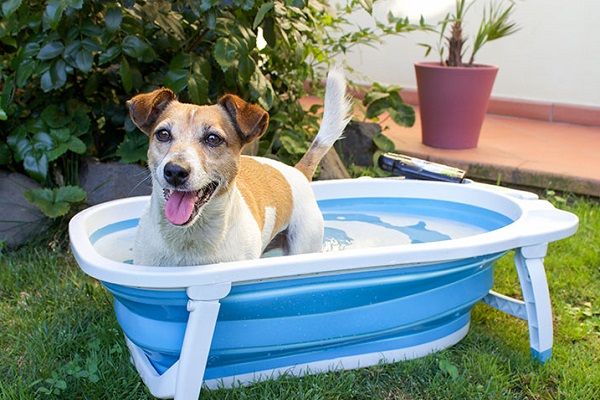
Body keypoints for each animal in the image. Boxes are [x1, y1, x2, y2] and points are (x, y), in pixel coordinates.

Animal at [127, 68, 352, 266]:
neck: (190, 237)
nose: (175, 171)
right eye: (163, 134)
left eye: (213, 139)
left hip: (304, 243)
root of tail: (297, 171)